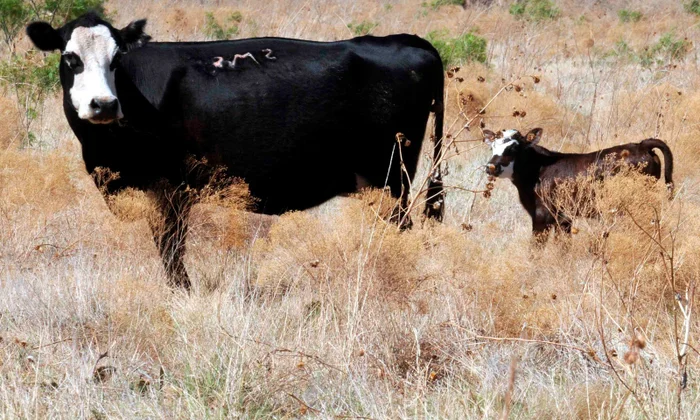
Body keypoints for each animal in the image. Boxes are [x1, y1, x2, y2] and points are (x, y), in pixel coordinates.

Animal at [27, 12, 446, 288]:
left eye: (116, 59)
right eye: (71, 58)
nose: (103, 104)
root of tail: (407, 40)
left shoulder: (169, 189)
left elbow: (171, 252)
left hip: (391, 180)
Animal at [486, 127, 672, 240]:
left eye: (513, 148)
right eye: (492, 147)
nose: (490, 167)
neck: (538, 170)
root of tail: (641, 145)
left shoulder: (542, 216)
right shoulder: (563, 219)